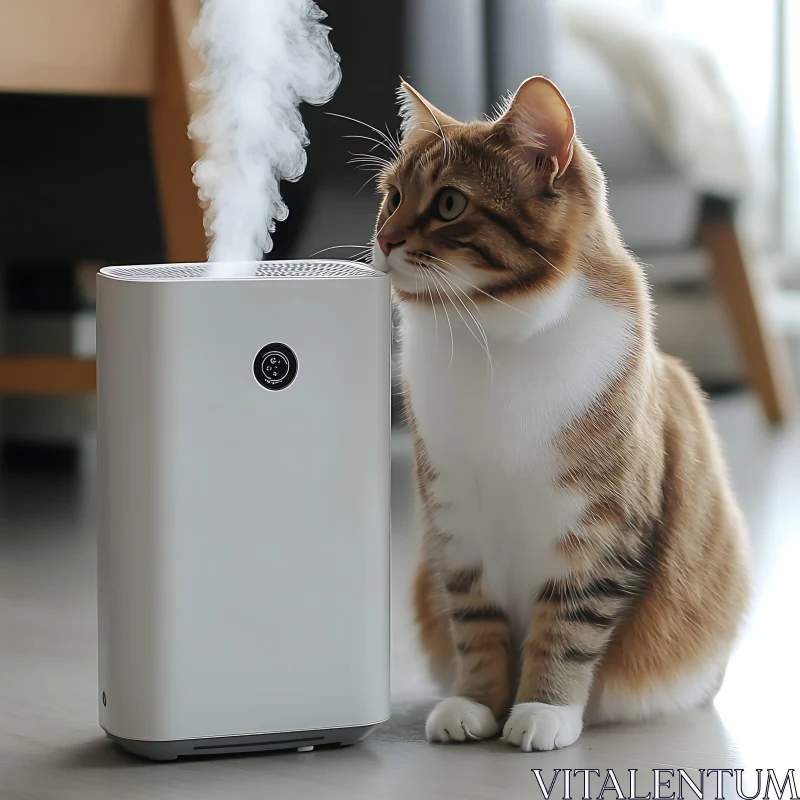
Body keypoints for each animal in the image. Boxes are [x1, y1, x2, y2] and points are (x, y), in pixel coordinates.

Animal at [368, 75, 752, 752]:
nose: (384, 240)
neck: (486, 338)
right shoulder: (454, 524)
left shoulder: (603, 529)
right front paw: (475, 702)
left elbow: (569, 627)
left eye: (448, 204)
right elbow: (474, 625)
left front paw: (544, 708)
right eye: (391, 197)